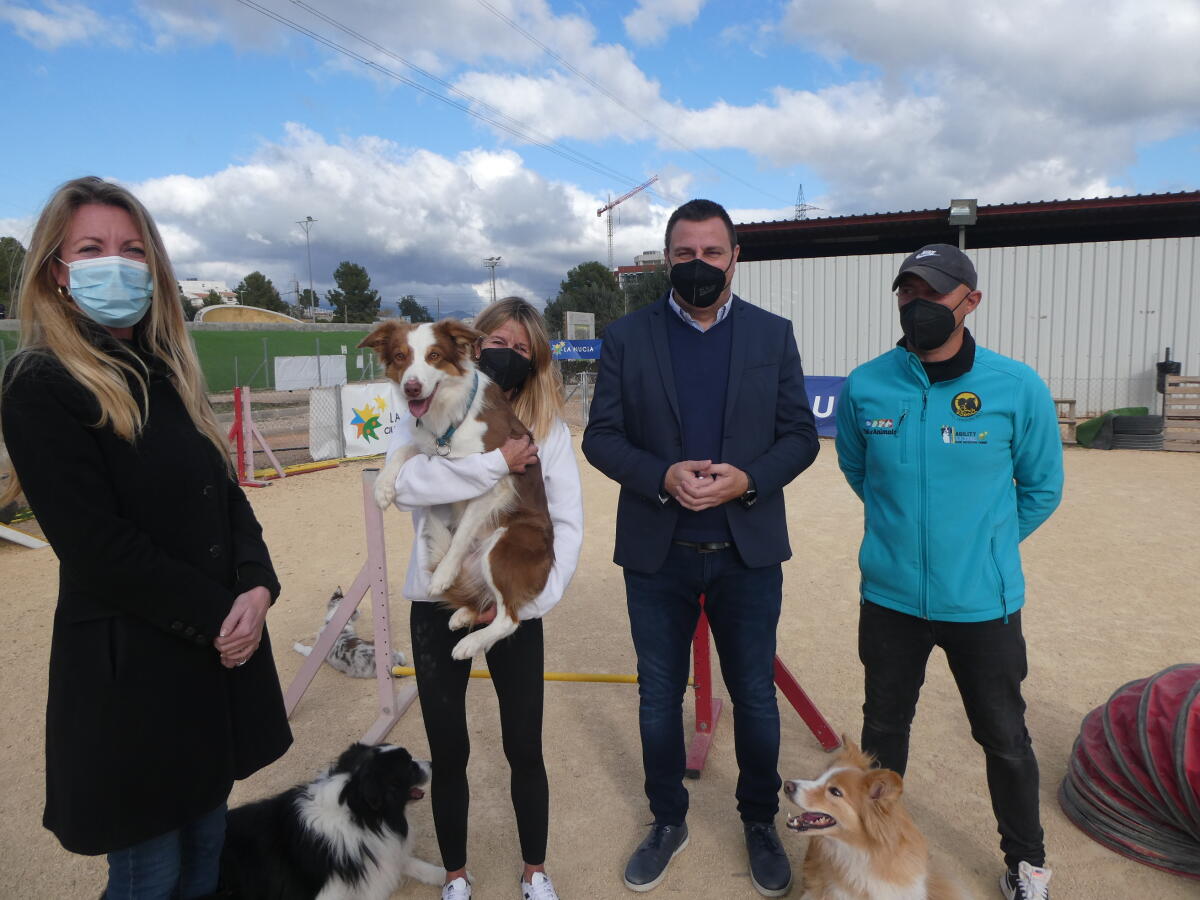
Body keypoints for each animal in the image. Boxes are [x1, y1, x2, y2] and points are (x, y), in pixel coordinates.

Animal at [222, 744, 446, 897]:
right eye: (410, 766)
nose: (433, 763)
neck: (359, 816)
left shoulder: (378, 855)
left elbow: (414, 863)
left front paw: (444, 876)